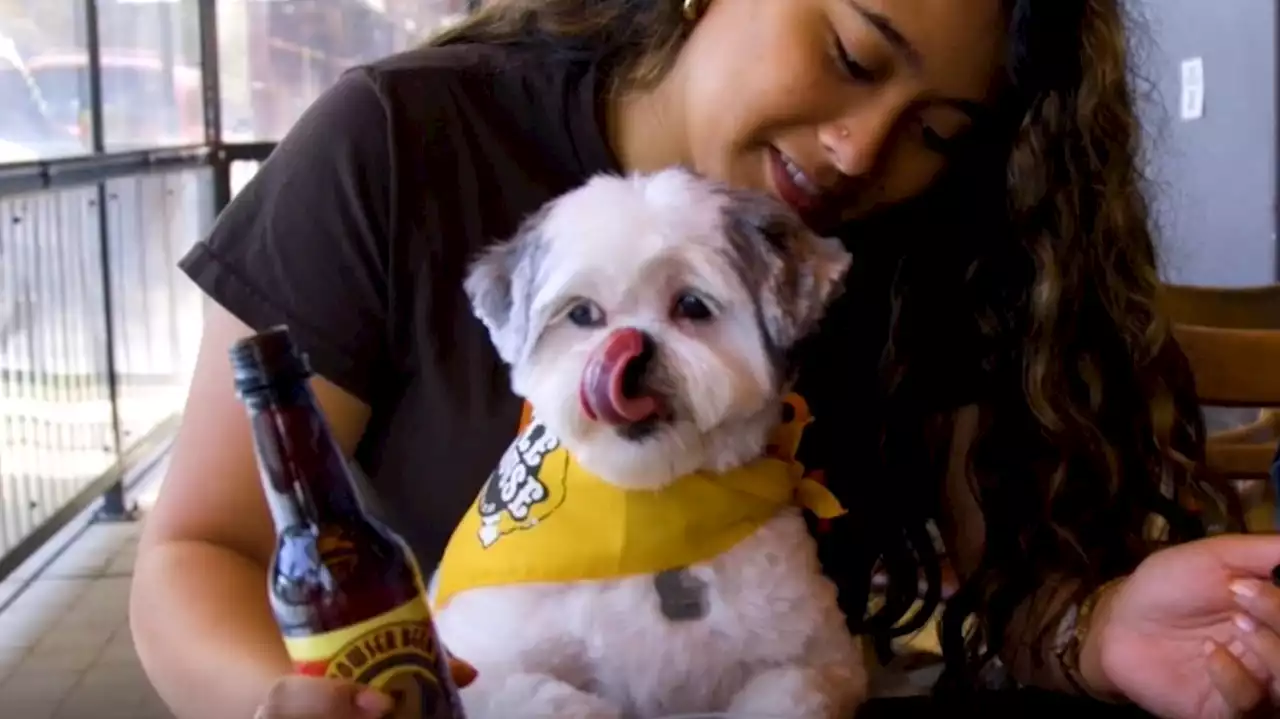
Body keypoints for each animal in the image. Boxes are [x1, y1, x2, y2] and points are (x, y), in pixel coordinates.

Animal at [432, 167, 870, 716]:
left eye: (691, 305)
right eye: (582, 314)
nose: (630, 352)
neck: (649, 514)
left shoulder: (823, 657)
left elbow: (790, 688)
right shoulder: (477, 660)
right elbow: (539, 694)